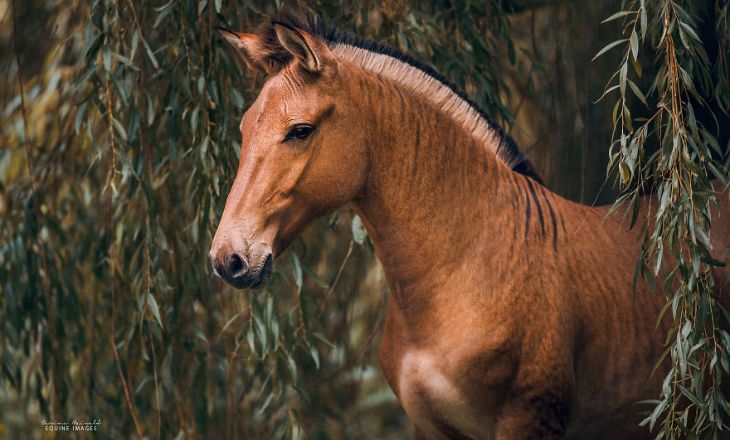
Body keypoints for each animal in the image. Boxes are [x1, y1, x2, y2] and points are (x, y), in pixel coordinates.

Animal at [208, 10, 724, 440]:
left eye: (301, 130)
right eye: (244, 129)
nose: (228, 259)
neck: (465, 269)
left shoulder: (525, 423)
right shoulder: (429, 428)